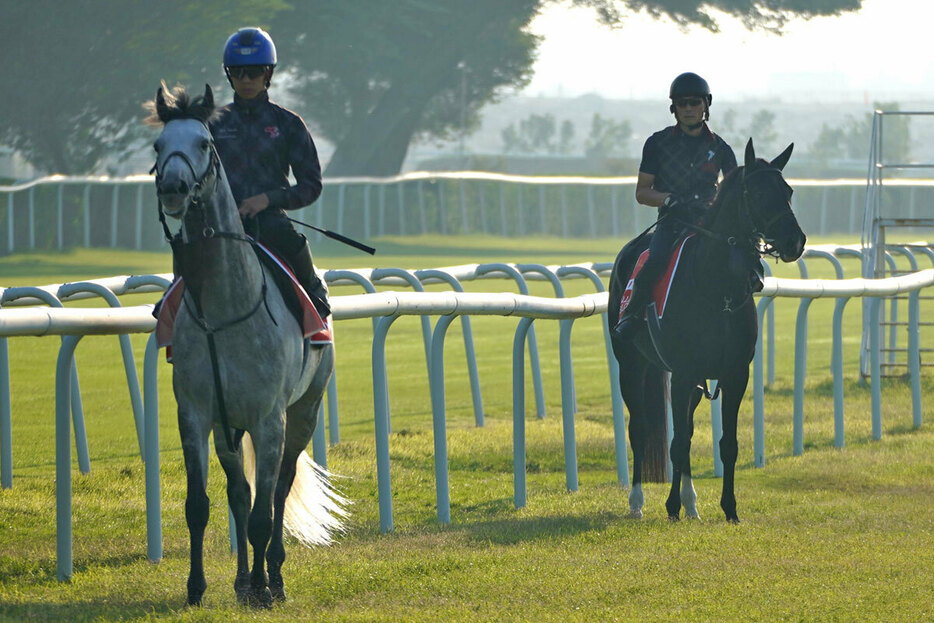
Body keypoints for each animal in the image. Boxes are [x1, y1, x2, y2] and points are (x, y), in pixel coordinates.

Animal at [148, 84, 346, 608]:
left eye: (203, 142)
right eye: (158, 145)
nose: (173, 189)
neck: (224, 311)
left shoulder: (268, 417)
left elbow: (263, 513)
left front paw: (263, 586)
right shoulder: (197, 415)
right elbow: (201, 504)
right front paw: (197, 587)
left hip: (304, 410)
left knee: (276, 492)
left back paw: (271, 576)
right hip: (227, 428)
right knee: (239, 492)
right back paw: (241, 579)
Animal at [612, 140, 808, 520]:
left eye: (789, 191)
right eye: (758, 193)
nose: (796, 241)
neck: (718, 290)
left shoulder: (734, 374)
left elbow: (726, 443)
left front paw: (729, 508)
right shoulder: (683, 372)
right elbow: (677, 443)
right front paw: (670, 505)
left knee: (684, 429)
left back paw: (691, 503)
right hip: (631, 364)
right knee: (639, 429)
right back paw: (637, 501)